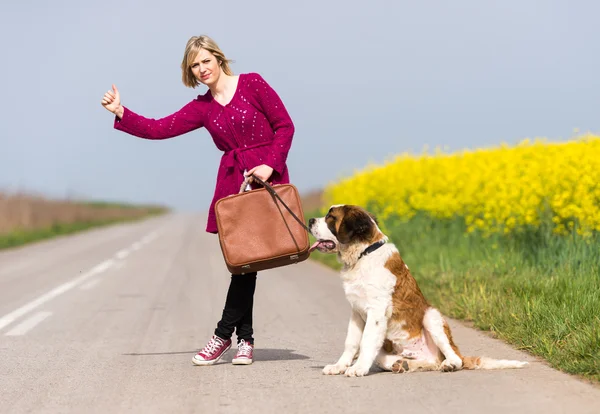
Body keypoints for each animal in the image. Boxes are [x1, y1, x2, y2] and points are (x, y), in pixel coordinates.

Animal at [308, 205, 528, 376]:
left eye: (330, 218)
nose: (309, 220)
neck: (364, 254)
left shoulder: (377, 312)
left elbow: (366, 341)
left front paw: (357, 369)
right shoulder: (356, 313)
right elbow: (351, 342)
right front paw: (339, 366)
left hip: (431, 316)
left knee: (454, 358)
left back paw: (448, 364)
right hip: (388, 350)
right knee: (428, 363)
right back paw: (403, 364)